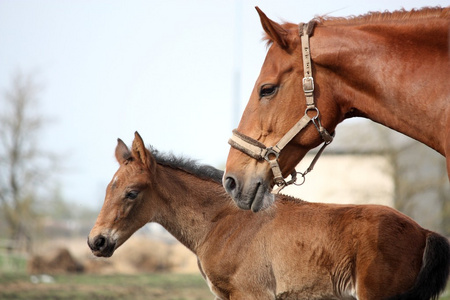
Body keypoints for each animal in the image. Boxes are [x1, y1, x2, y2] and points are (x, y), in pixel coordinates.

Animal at [89, 133, 450, 300]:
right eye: (107, 188)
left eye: (131, 192)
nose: (97, 241)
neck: (222, 222)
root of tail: (424, 231)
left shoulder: (250, 293)